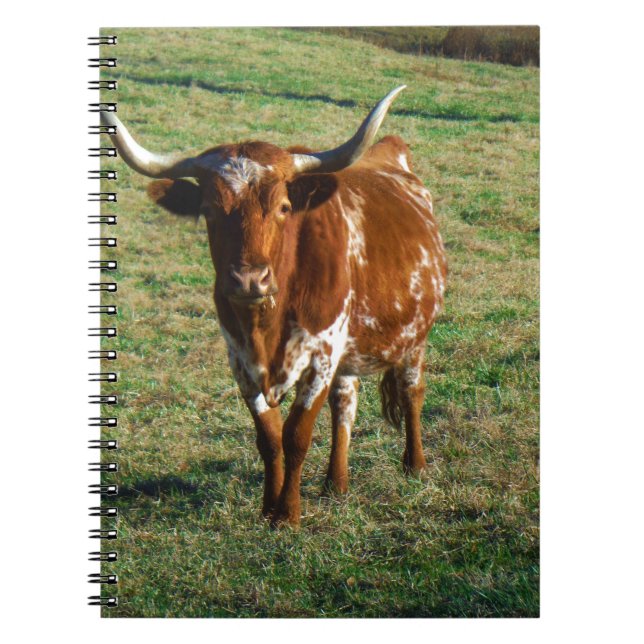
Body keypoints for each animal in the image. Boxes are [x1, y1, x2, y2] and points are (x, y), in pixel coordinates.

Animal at [102, 86, 447, 526]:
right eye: (209, 210)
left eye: (283, 207)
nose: (249, 280)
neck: (267, 324)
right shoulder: (242, 362)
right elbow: (268, 438)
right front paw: (268, 508)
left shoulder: (321, 356)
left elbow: (296, 435)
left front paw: (288, 515)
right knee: (345, 402)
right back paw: (336, 483)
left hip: (414, 336)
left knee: (411, 390)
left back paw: (414, 464)